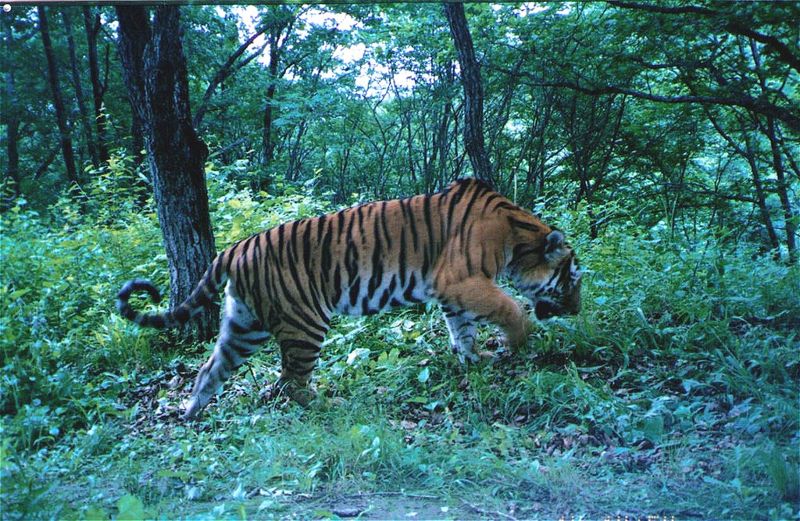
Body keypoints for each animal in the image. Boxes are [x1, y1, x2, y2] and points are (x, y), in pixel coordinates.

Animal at [117, 178, 582, 420]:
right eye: (573, 280)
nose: (578, 311)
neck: (516, 236)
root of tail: (236, 248)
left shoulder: (453, 291)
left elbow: (461, 328)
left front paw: (474, 359)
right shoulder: (464, 280)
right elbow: (510, 307)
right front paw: (519, 343)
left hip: (244, 326)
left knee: (210, 369)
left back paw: (191, 413)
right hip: (305, 324)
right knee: (291, 382)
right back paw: (329, 403)